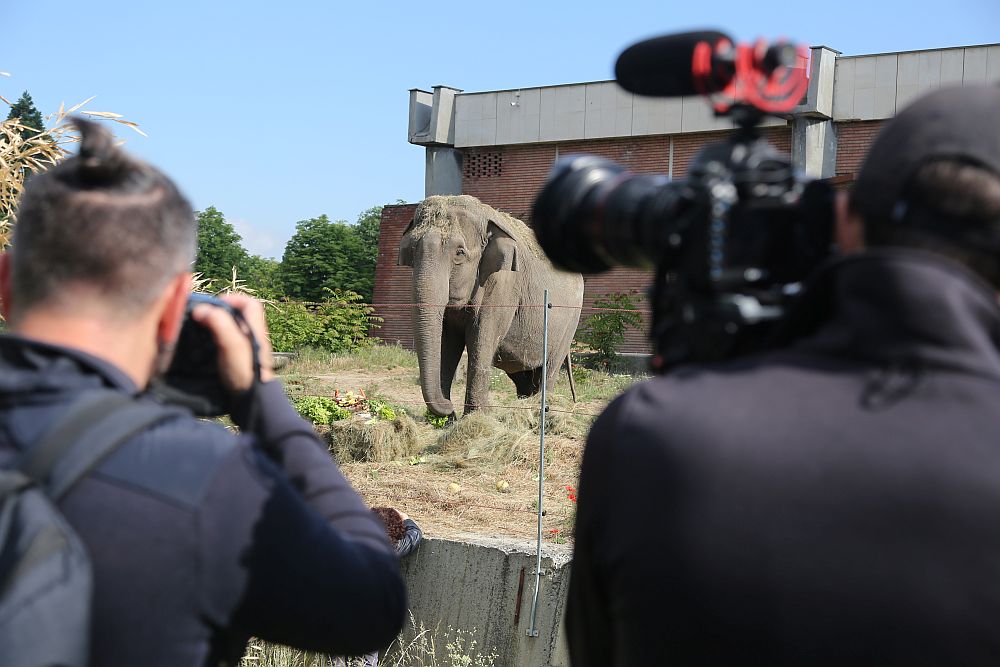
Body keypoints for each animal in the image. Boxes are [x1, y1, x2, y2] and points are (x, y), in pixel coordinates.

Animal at [398, 196, 584, 420]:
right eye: (411, 251)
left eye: (460, 252)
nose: (449, 406)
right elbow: (447, 340)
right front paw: (445, 421)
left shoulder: (503, 284)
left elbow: (482, 335)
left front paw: (477, 417)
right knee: (523, 375)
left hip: (570, 322)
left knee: (549, 368)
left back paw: (541, 410)